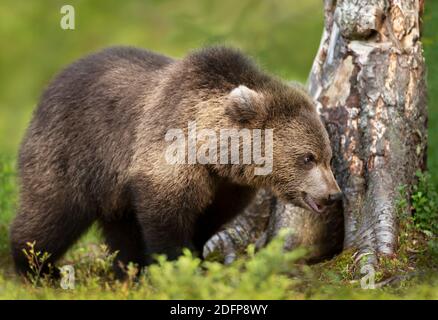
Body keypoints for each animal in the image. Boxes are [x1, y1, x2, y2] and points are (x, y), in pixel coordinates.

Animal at [8, 45, 340, 278]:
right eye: (307, 158)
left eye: (328, 157)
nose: (333, 194)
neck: (214, 154)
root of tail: (50, 86)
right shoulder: (168, 155)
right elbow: (167, 216)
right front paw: (178, 265)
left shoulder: (226, 185)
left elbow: (210, 218)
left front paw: (197, 257)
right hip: (70, 150)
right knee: (52, 211)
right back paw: (38, 268)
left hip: (112, 185)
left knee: (119, 226)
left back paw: (127, 270)